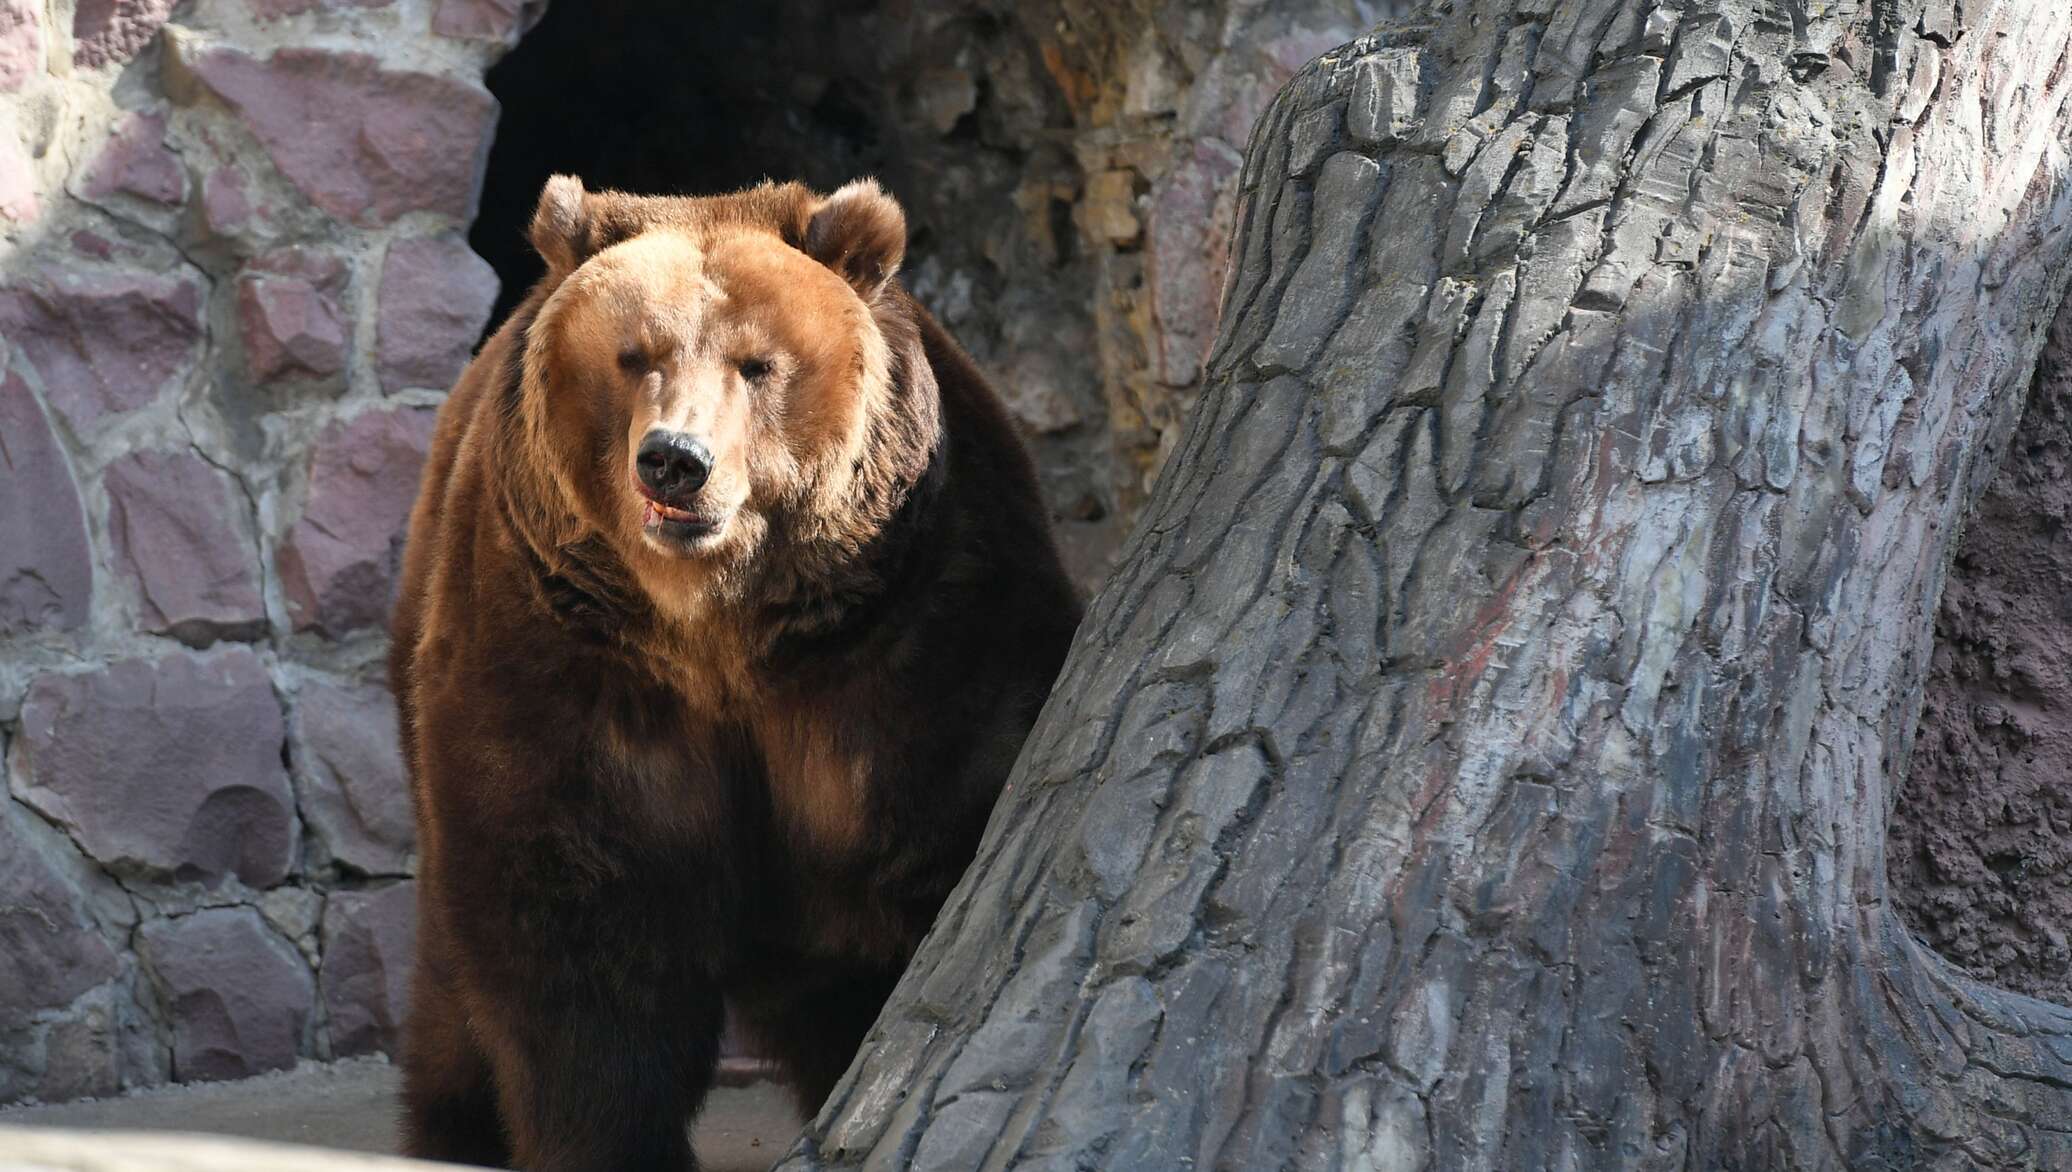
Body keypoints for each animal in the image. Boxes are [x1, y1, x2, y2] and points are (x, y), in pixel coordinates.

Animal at [389, 177, 1094, 1172]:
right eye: (633, 354)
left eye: (757, 364)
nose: (675, 461)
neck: (721, 632)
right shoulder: (564, 651)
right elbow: (571, 906)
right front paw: (609, 1140)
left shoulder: (914, 634)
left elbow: (935, 835)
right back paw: (454, 1122)